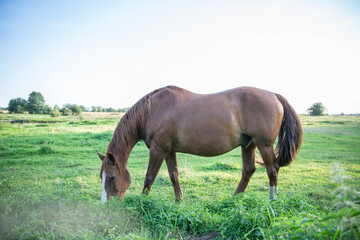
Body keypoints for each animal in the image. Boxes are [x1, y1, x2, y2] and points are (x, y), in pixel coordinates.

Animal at [97, 85, 302, 202]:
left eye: (112, 177)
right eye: (101, 177)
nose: (106, 204)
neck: (150, 111)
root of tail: (274, 95)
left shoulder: (158, 150)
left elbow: (150, 177)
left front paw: (142, 202)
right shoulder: (169, 151)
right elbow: (174, 176)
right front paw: (178, 201)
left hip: (264, 144)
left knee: (272, 170)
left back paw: (271, 200)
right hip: (248, 145)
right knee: (248, 170)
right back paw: (234, 199)